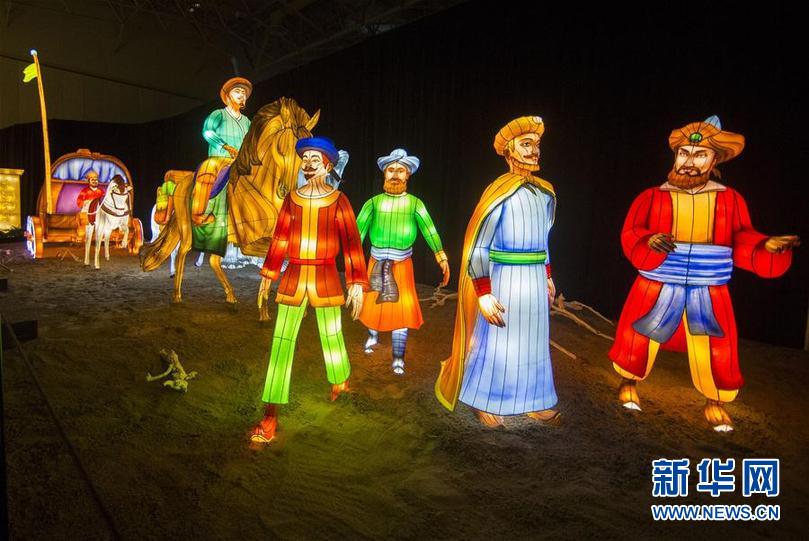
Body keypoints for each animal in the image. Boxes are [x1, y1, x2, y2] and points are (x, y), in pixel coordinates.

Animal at [140, 97, 320, 320]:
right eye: (282, 148)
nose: (286, 190)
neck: (261, 190)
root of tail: (182, 183)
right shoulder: (251, 243)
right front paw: (264, 307)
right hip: (188, 230)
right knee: (182, 253)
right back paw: (177, 296)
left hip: (218, 237)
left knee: (214, 261)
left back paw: (231, 299)